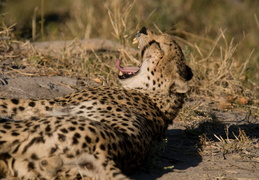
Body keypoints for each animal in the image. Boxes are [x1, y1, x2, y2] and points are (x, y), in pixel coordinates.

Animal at [0, 27, 193, 180]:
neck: (152, 95)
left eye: (159, 45)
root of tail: (107, 154)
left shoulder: (50, 104)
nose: (143, 29)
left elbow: (10, 102)